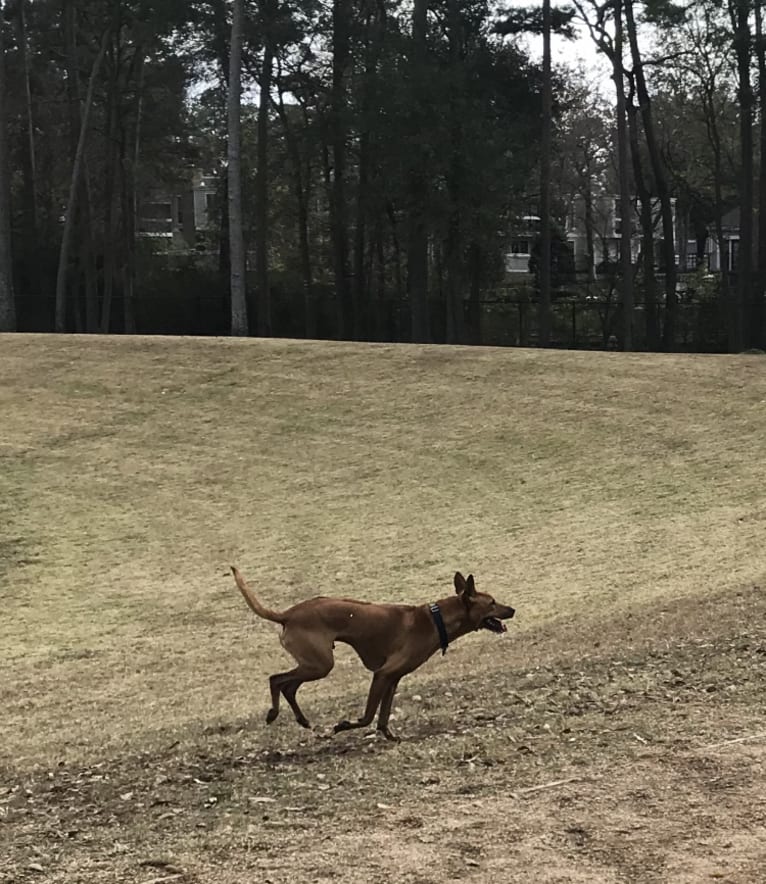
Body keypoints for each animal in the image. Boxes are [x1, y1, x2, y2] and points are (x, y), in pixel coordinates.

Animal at [230, 568, 516, 740]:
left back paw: (301, 720)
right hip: (320, 664)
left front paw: (388, 735)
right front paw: (344, 725)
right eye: (492, 603)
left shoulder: (392, 678)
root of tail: (287, 614)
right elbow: (368, 716)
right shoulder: (382, 674)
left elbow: (383, 715)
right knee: (277, 680)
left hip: (315, 663)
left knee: (288, 686)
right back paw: (273, 714)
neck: (436, 620)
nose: (513, 609)